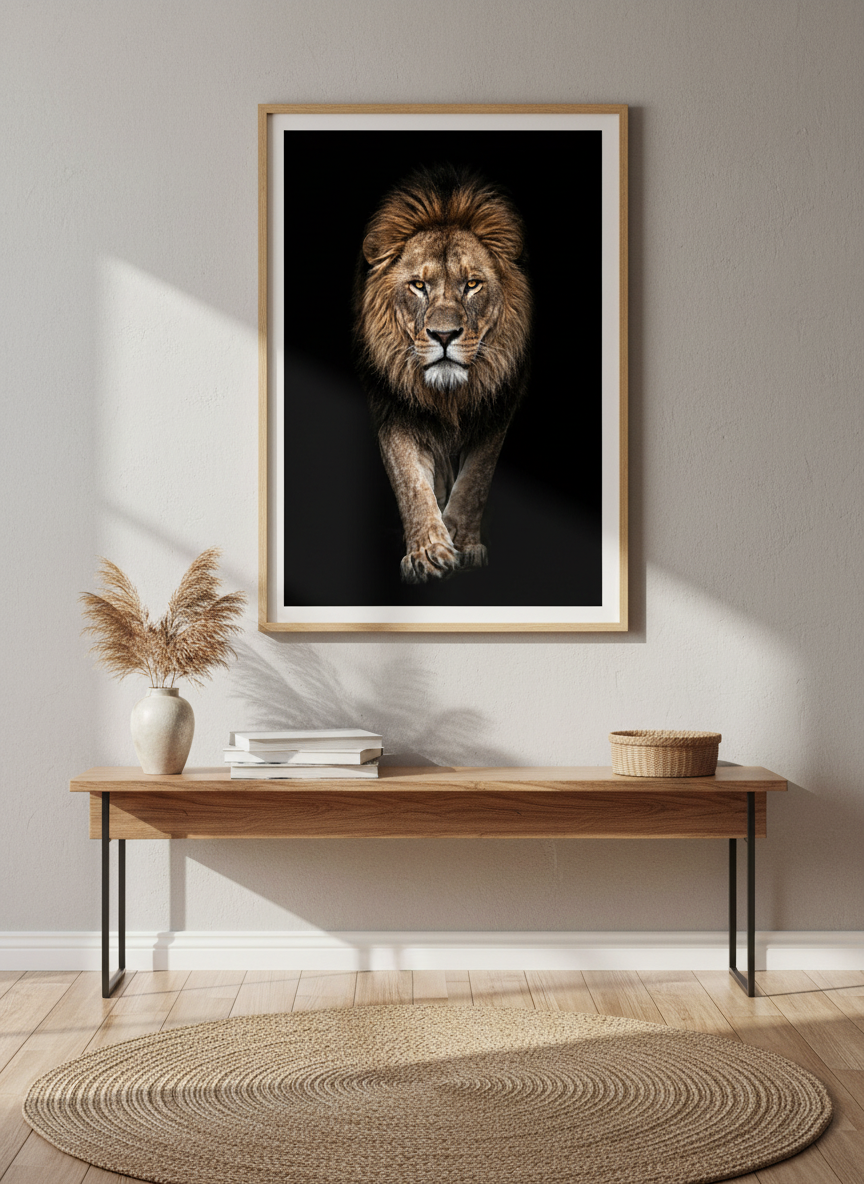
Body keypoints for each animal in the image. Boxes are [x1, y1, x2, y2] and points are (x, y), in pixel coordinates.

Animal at [354, 166, 532, 584]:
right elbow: (411, 484)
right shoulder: (393, 411)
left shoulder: (497, 411)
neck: (448, 396)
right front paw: (429, 552)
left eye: (472, 284)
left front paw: (461, 543)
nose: (445, 335)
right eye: (419, 285)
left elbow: (474, 482)